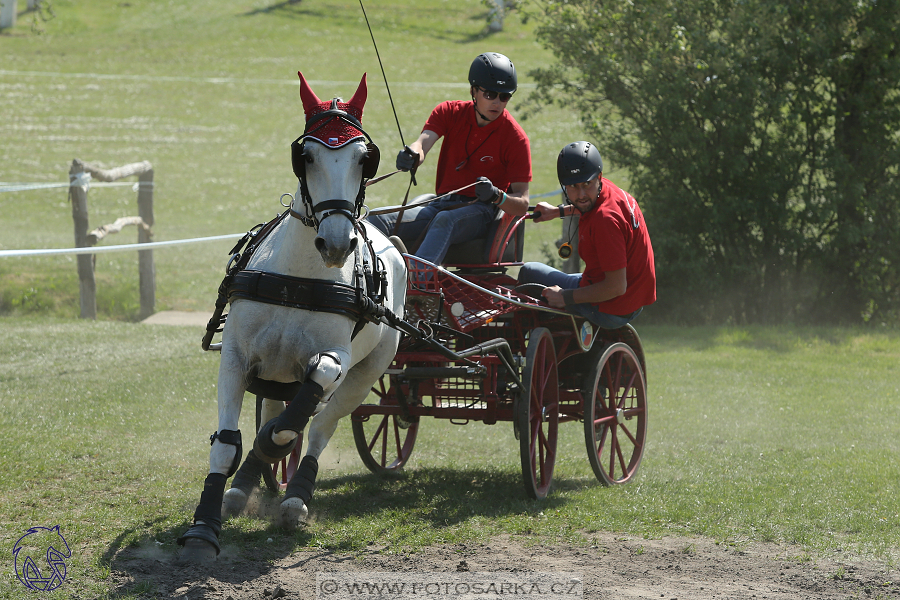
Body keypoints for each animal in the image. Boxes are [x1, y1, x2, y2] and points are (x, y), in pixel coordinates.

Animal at [177, 74, 408, 564]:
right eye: (307, 155)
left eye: (364, 157)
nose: (337, 243)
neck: (298, 278)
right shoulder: (237, 358)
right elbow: (227, 444)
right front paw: (204, 526)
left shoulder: (334, 359)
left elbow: (295, 418)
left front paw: (274, 446)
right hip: (276, 372)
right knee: (279, 415)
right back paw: (241, 489)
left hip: (366, 373)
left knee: (319, 426)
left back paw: (296, 496)